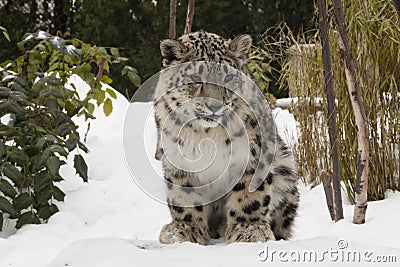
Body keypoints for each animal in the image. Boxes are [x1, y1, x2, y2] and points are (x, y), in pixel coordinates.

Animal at [153, 30, 300, 245]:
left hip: (285, 167)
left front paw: (248, 229)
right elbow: (183, 194)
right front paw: (185, 229)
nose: (214, 105)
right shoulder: (178, 159)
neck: (206, 134)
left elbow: (250, 195)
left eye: (229, 76)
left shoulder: (251, 154)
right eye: (195, 77)